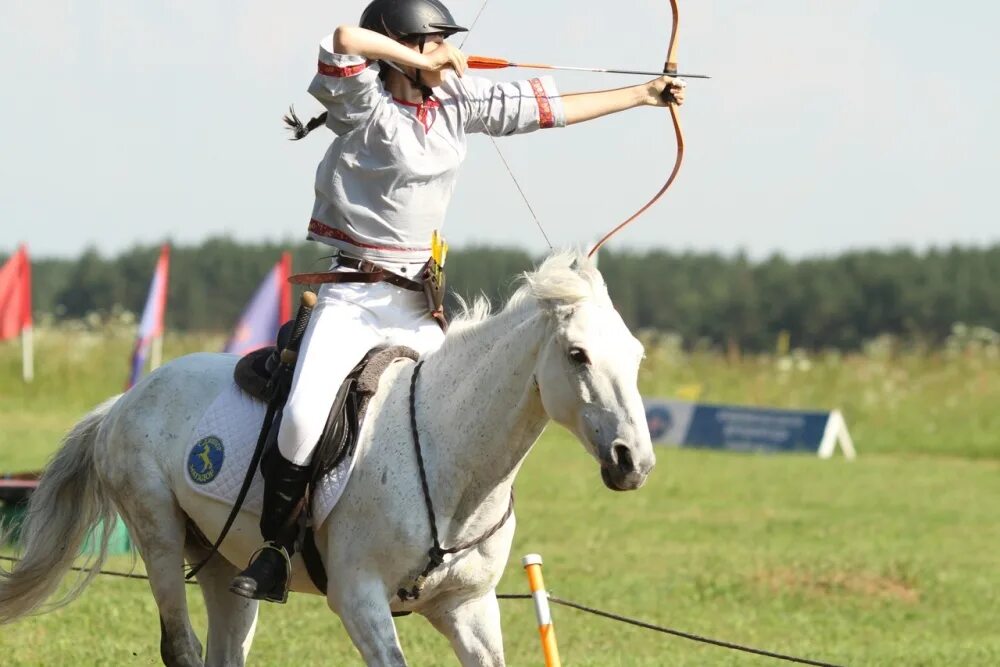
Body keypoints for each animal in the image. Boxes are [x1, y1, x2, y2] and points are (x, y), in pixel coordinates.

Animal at [0, 252, 656, 667]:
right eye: (577, 355)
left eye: (637, 355)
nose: (634, 462)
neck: (454, 463)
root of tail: (125, 400)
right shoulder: (360, 600)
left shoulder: (468, 608)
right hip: (158, 534)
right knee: (181, 645)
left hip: (219, 562)